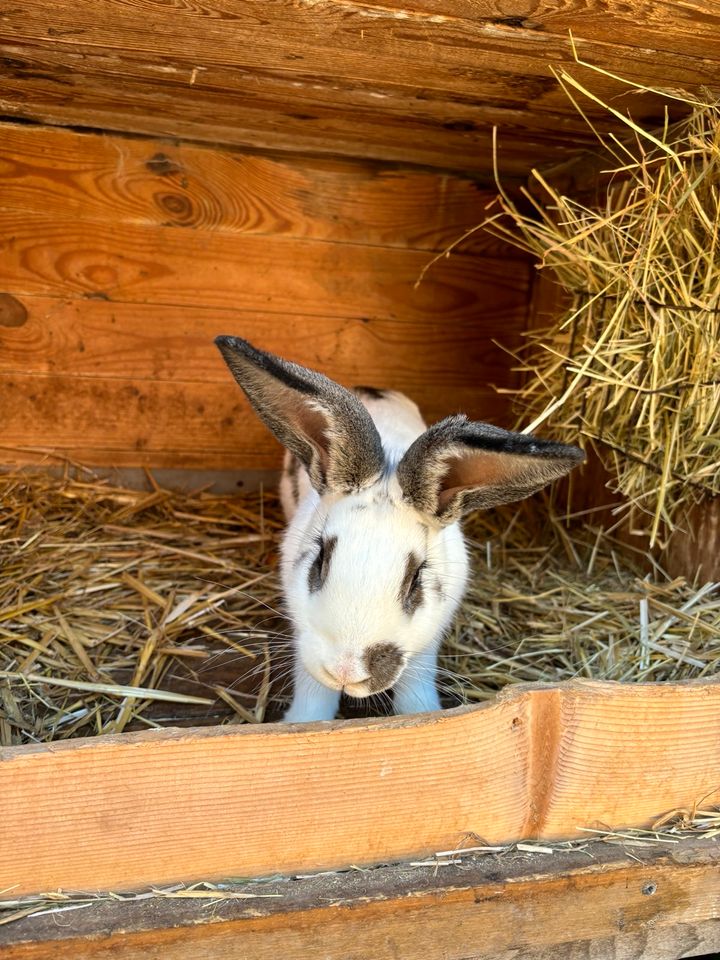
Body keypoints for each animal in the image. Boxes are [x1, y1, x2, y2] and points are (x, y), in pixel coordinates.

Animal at [215, 338, 584, 720]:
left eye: (416, 579)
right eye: (319, 561)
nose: (346, 671)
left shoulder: (429, 639)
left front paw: (423, 714)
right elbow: (312, 691)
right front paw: (304, 722)